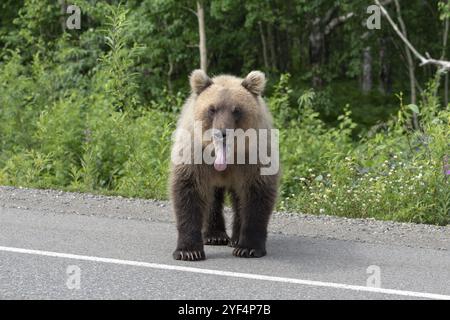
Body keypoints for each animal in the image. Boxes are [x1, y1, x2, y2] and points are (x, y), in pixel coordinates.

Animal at [171, 69, 280, 260]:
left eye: (237, 110)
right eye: (212, 109)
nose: (222, 133)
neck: (226, 158)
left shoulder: (253, 158)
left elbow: (256, 195)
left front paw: (248, 248)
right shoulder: (195, 154)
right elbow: (189, 191)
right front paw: (188, 251)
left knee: (238, 199)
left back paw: (235, 239)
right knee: (212, 198)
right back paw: (215, 236)